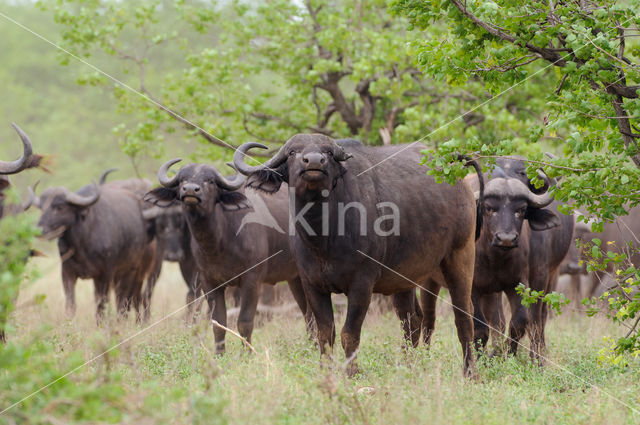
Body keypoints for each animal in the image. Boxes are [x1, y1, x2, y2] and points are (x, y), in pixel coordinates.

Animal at [36, 179, 159, 322]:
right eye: (41, 207)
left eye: (59, 206)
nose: (40, 230)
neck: (82, 243)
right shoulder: (67, 272)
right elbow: (71, 303)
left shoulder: (105, 274)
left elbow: (102, 303)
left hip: (131, 271)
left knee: (124, 300)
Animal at [146, 159, 316, 352]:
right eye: (183, 179)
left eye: (211, 181)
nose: (190, 190)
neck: (219, 244)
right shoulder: (209, 283)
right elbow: (218, 323)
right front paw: (219, 354)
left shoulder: (252, 280)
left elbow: (245, 322)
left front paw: (247, 354)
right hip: (294, 278)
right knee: (307, 314)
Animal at [234, 134, 480, 376]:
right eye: (293, 152)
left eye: (328, 153)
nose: (313, 162)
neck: (323, 237)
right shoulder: (311, 284)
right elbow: (326, 333)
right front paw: (325, 372)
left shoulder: (362, 283)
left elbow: (349, 333)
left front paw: (351, 373)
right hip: (404, 278)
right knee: (412, 320)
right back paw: (408, 367)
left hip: (460, 256)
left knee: (464, 316)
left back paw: (470, 372)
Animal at [464, 157, 576, 362]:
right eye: (489, 208)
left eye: (521, 210)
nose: (506, 238)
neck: (494, 258)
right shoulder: (473, 286)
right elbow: (480, 328)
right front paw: (483, 358)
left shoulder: (519, 283)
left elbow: (520, 322)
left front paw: (508, 355)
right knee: (497, 320)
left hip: (549, 275)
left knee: (538, 319)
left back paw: (537, 357)